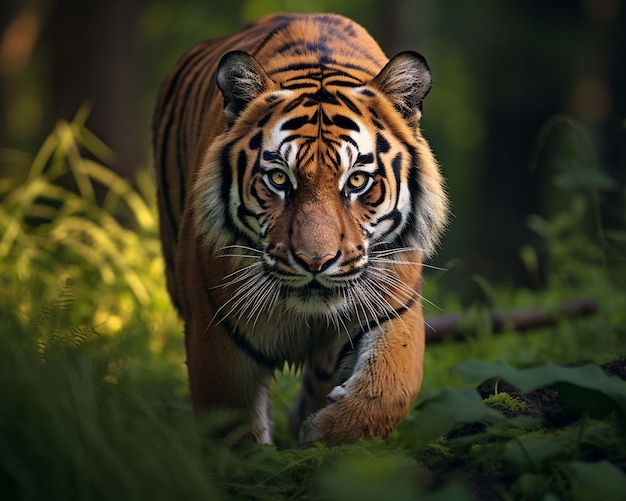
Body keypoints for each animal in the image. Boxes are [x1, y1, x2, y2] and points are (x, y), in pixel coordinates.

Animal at [152, 11, 444, 444]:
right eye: (278, 179)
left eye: (357, 181)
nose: (315, 262)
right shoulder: (214, 331)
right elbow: (235, 432)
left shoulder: (395, 305)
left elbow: (389, 390)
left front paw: (321, 432)